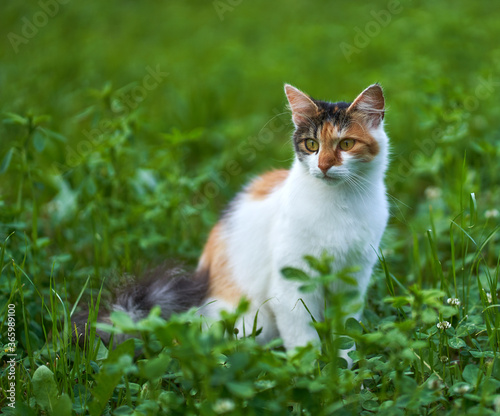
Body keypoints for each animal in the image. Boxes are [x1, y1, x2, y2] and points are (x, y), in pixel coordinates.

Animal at [73, 83, 390, 352]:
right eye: (312, 145)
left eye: (346, 144)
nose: (323, 166)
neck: (340, 203)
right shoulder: (290, 287)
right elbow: (304, 341)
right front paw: (313, 373)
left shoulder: (353, 282)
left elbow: (345, 336)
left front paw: (347, 373)